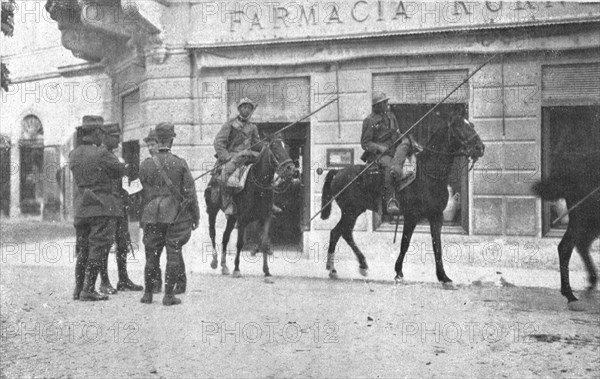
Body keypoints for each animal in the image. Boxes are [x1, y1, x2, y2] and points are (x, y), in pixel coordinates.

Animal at [204, 137, 298, 282]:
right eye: (275, 149)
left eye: (287, 148)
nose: (292, 170)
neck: (259, 187)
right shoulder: (242, 220)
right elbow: (239, 243)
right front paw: (237, 270)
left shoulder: (265, 217)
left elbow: (264, 243)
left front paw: (267, 272)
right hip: (212, 210)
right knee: (212, 233)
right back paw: (214, 261)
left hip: (232, 217)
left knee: (225, 237)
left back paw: (224, 266)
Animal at [322, 113, 486, 288]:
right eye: (460, 127)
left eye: (472, 125)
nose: (480, 147)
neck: (428, 176)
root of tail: (338, 172)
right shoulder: (411, 216)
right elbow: (405, 243)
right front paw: (398, 273)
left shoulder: (436, 216)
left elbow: (437, 246)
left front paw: (444, 277)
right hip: (350, 211)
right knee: (337, 233)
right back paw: (334, 269)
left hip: (355, 211)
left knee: (343, 233)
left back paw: (357, 265)